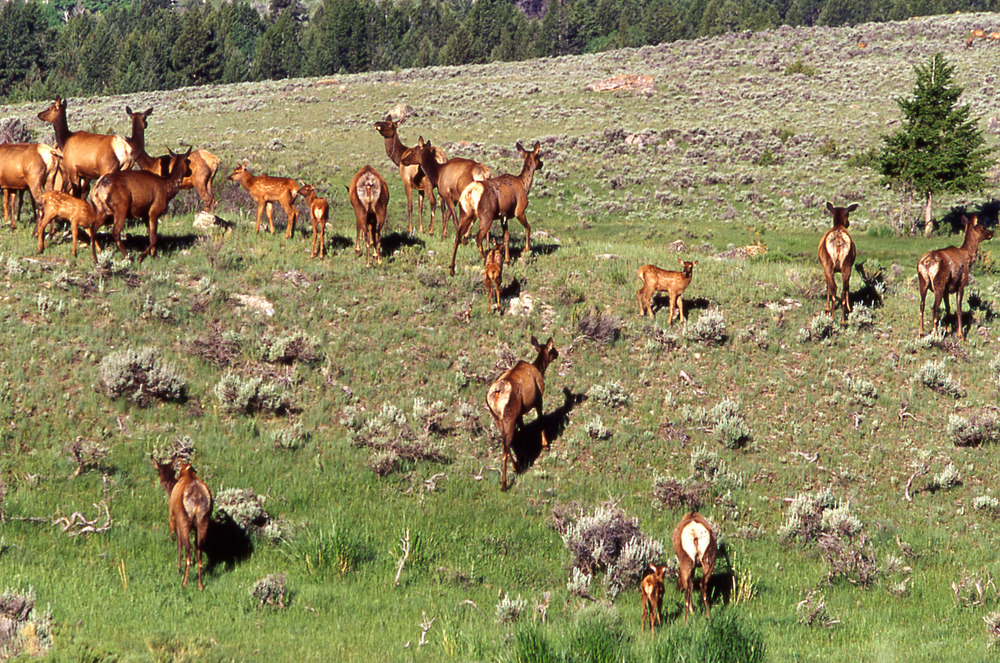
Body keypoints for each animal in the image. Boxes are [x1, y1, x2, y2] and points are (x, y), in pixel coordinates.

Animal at [151, 456, 213, 591]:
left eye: (158, 470)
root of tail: (197, 498)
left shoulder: (174, 516)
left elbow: (177, 542)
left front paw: (178, 567)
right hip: (203, 521)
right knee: (199, 551)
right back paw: (200, 585)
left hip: (183, 519)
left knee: (188, 549)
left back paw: (184, 581)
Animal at [455, 141, 543, 277]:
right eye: (538, 156)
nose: (542, 164)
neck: (524, 185)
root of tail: (470, 192)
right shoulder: (519, 210)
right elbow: (528, 228)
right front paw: (526, 249)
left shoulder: (503, 216)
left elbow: (506, 236)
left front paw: (507, 260)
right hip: (486, 216)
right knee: (478, 237)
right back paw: (483, 258)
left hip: (464, 213)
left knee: (459, 234)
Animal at [485, 336, 558, 491]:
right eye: (552, 349)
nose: (557, 353)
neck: (539, 369)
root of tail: (496, 395)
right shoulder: (538, 399)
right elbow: (541, 420)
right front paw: (545, 444)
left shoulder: (520, 413)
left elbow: (524, 431)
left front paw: (525, 454)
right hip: (509, 416)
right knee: (505, 447)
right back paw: (504, 483)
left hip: (498, 419)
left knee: (506, 445)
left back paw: (516, 468)